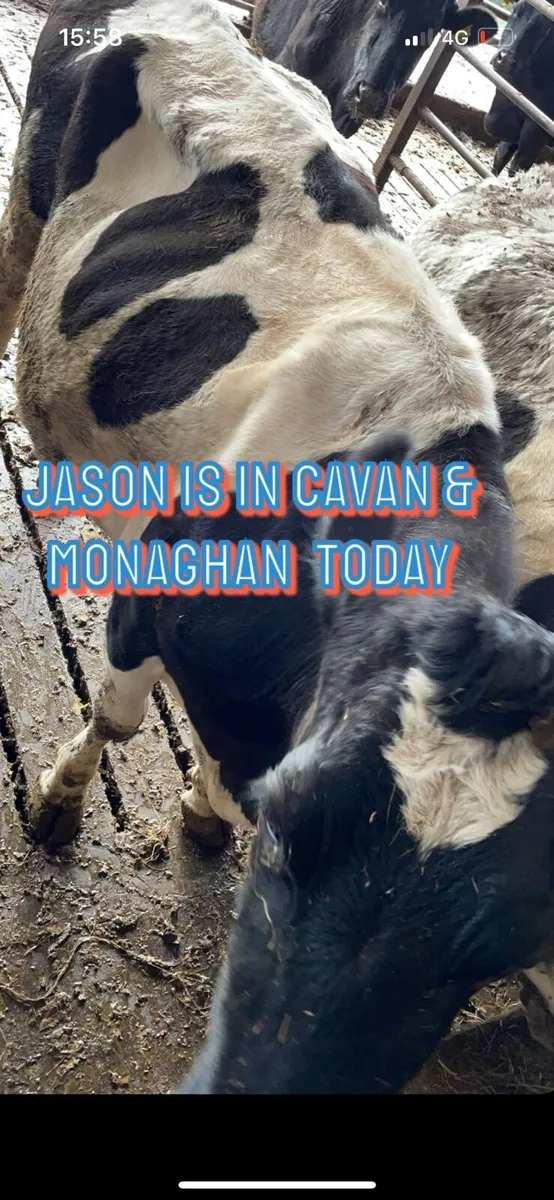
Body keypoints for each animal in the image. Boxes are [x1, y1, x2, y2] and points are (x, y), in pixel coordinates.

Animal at [484, 0, 554, 175]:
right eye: (516, 10)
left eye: (547, 30)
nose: (505, 60)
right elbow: (500, 155)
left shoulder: (537, 127)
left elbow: (518, 165)